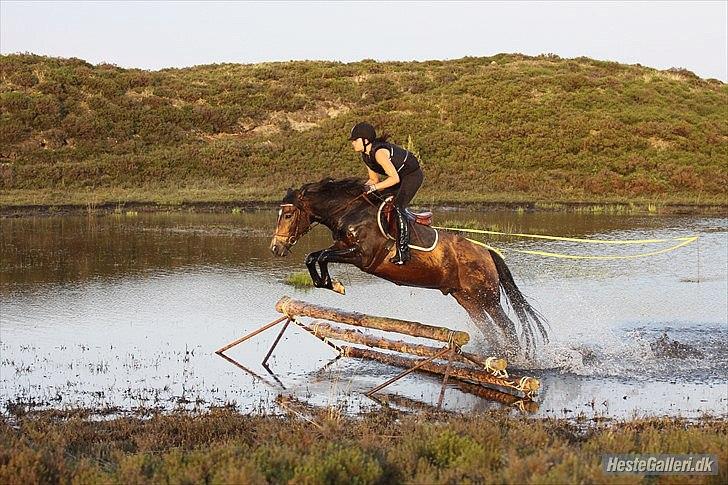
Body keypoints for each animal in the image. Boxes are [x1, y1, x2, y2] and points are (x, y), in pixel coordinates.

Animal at [270, 176, 548, 358]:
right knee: (490, 329)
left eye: (288, 215)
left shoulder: (361, 256)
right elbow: (313, 257)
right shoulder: (342, 248)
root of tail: (486, 252)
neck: (351, 213)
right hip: (468, 300)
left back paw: (516, 358)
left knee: (507, 326)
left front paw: (333, 284)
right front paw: (329, 283)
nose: (276, 248)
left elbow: (322, 257)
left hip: (486, 297)